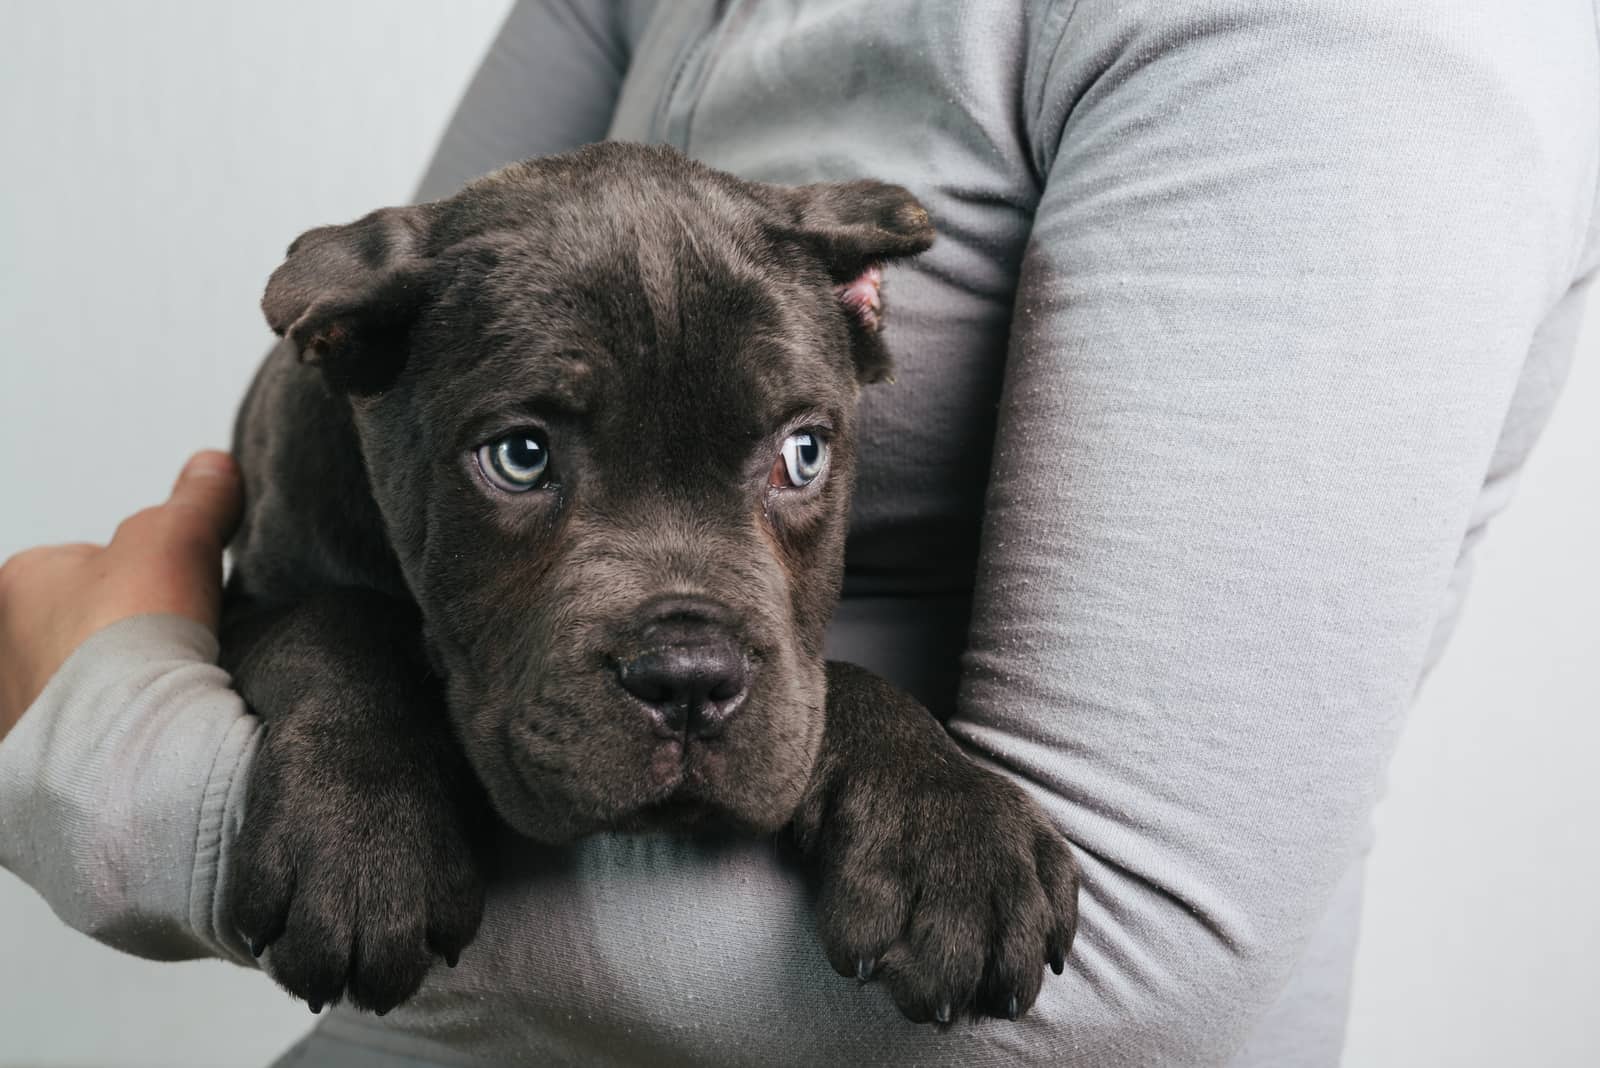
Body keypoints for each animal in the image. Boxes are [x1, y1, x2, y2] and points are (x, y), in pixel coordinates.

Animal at [222, 141, 1075, 1023]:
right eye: (519, 456)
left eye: (804, 454)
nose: (689, 681)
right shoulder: (251, 597)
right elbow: (337, 627)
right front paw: (364, 838)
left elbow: (836, 681)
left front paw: (952, 827)